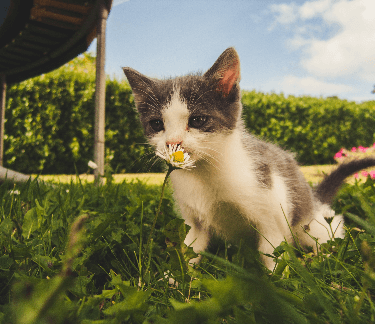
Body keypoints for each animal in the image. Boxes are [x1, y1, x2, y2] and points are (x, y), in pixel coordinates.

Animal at [123, 46, 375, 268]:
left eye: (197, 120)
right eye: (157, 124)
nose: (172, 143)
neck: (206, 172)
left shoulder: (272, 209)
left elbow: (271, 252)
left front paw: (276, 283)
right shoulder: (193, 220)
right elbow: (189, 249)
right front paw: (173, 279)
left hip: (307, 222)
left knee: (329, 227)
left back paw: (323, 256)